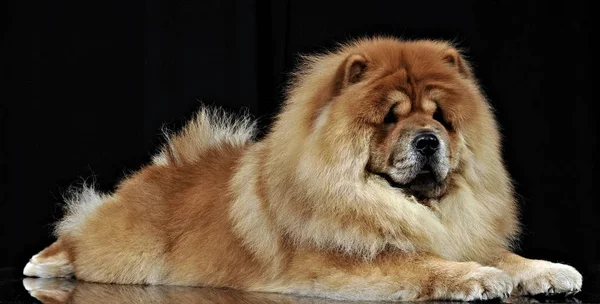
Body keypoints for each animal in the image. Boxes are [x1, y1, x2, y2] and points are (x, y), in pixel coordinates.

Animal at [23, 36, 580, 300]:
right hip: (127, 254)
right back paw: (44, 263)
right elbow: (420, 262)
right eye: (391, 118)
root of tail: (167, 164)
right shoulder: (341, 261)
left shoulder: (460, 232)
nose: (427, 140)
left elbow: (505, 256)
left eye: (441, 117)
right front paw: (477, 277)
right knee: (77, 237)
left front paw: (549, 271)